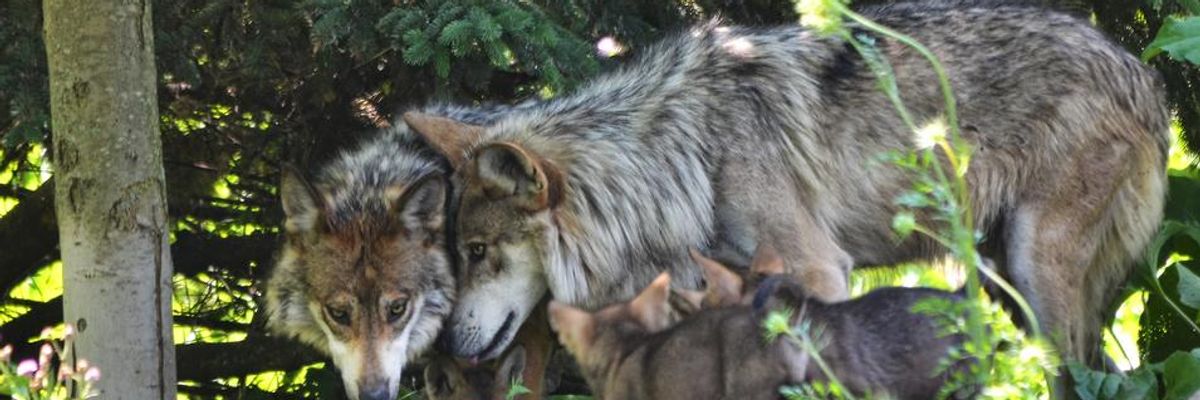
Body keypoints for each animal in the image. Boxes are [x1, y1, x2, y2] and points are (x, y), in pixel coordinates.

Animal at [407, 1, 1169, 369]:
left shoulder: (819, 271)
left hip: (1034, 271)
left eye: (477, 252)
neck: (679, 157)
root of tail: (1146, 75)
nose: (440, 350)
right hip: (998, 276)